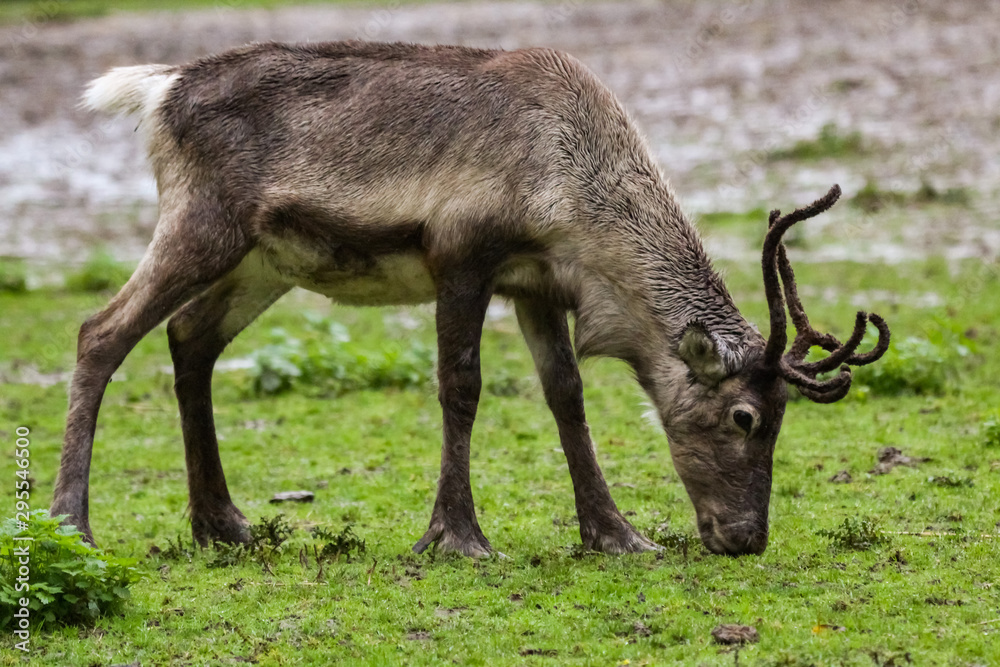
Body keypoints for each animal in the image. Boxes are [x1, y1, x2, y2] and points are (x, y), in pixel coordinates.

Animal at [51, 41, 889, 558]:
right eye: (744, 417)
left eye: (781, 417)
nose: (746, 536)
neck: (573, 185)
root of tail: (162, 88)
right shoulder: (460, 255)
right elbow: (462, 385)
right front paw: (457, 536)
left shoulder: (537, 282)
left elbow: (567, 396)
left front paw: (615, 534)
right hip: (202, 224)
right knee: (100, 331)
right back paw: (71, 521)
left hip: (264, 261)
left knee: (188, 338)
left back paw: (222, 523)